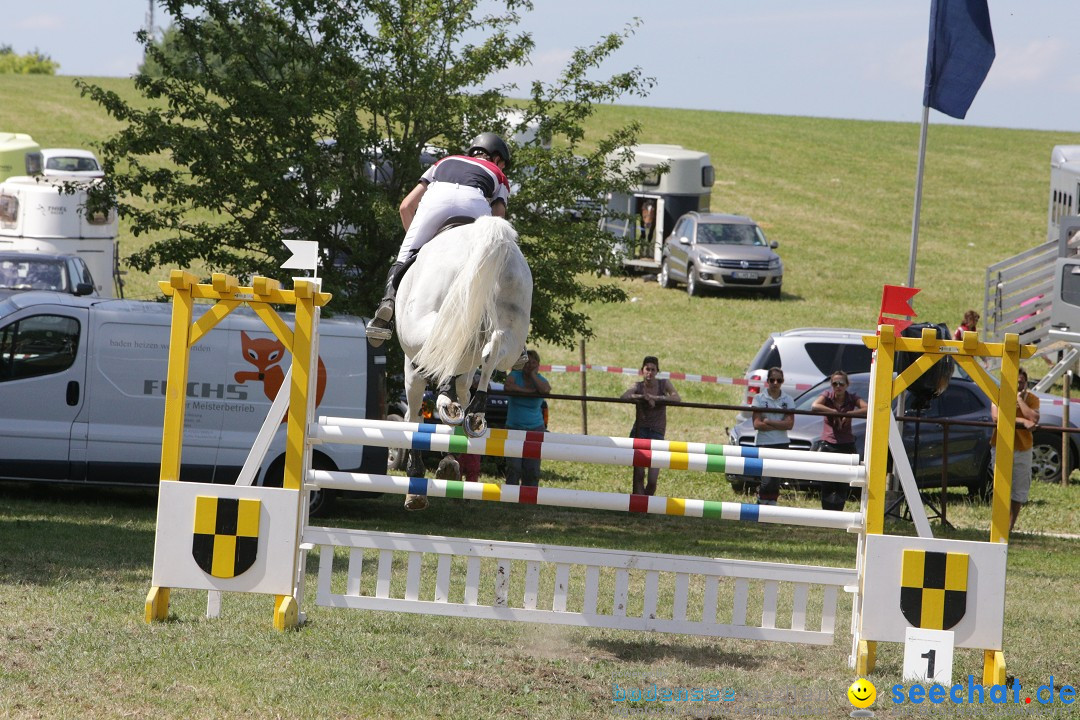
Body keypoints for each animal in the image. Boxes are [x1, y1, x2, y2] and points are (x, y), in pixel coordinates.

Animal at [395, 216, 533, 509]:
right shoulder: (467, 370)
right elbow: (463, 388)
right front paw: (449, 459)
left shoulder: (412, 368)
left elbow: (414, 417)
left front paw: (417, 479)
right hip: (512, 325)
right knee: (492, 348)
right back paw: (476, 411)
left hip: (430, 319)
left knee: (449, 344)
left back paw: (449, 404)